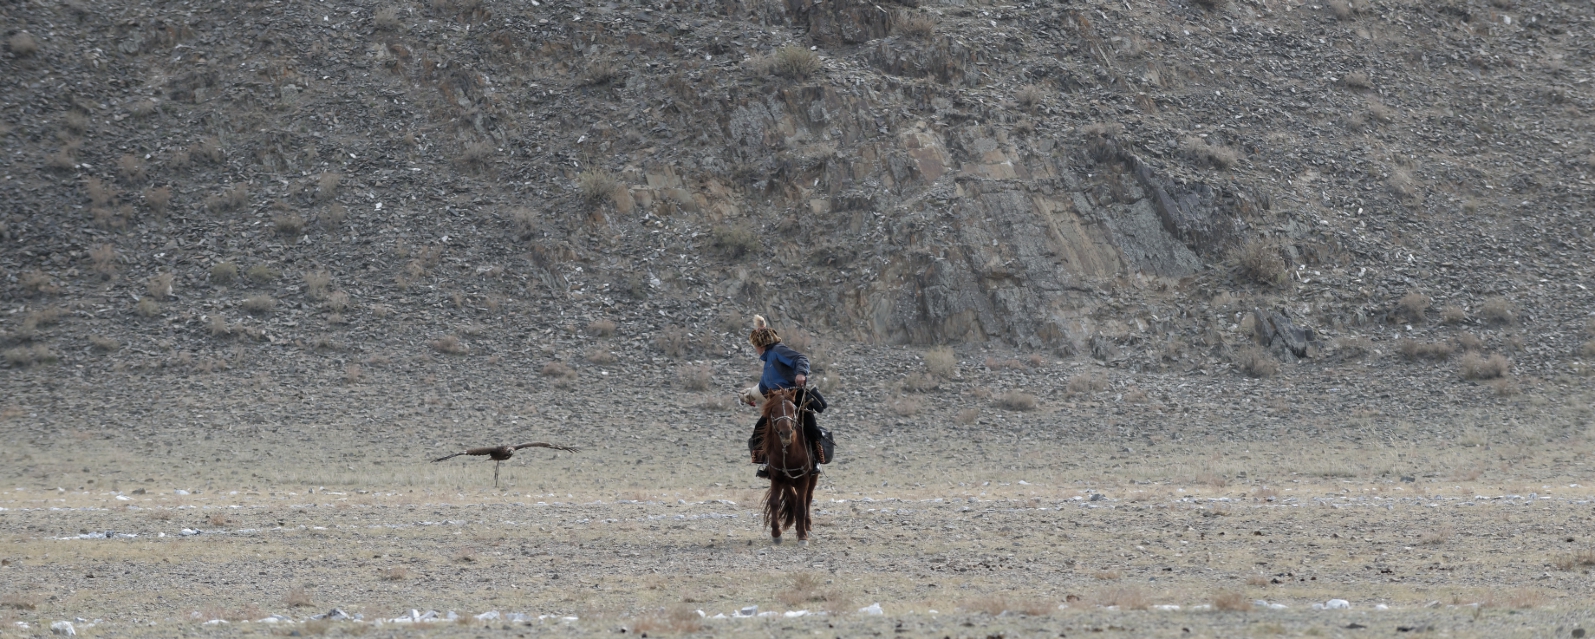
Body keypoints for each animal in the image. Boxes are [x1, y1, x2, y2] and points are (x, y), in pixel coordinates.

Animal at [759, 388, 818, 544]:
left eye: (794, 410)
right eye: (774, 411)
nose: (785, 433)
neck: (789, 453)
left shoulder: (804, 479)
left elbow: (801, 506)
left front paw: (803, 536)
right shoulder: (777, 478)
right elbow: (775, 502)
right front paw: (776, 534)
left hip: (813, 478)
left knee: (807, 498)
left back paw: (807, 525)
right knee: (793, 499)